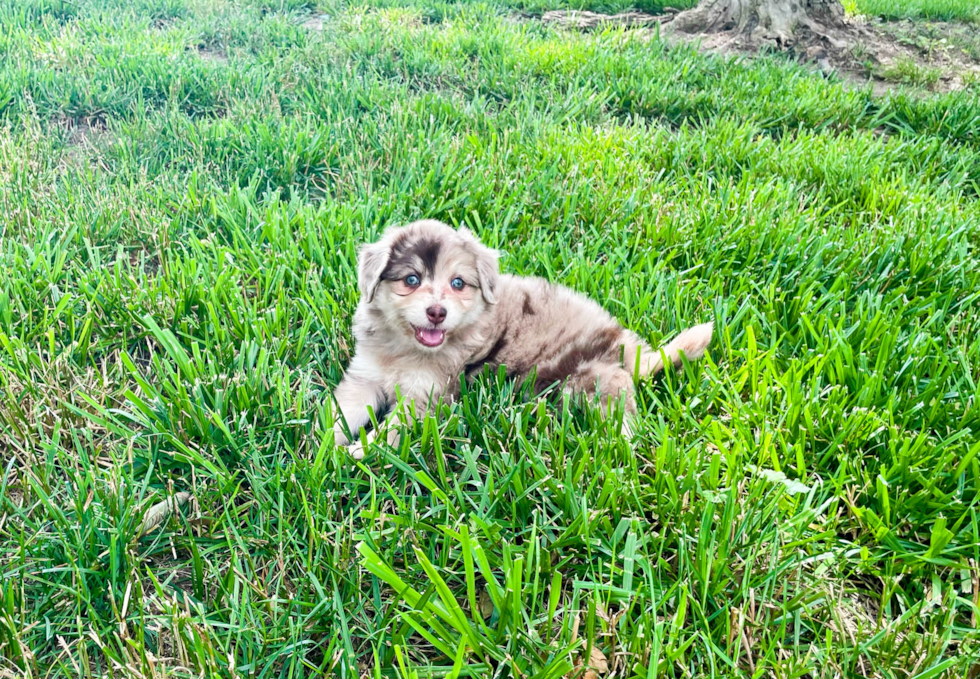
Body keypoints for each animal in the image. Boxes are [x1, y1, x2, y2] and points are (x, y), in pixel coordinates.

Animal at [334, 220, 712, 460]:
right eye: (411, 280)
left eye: (458, 283)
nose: (437, 312)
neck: (403, 349)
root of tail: (631, 352)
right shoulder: (364, 378)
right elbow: (339, 413)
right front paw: (325, 444)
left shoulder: (425, 398)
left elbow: (391, 429)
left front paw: (356, 452)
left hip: (591, 379)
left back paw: (623, 445)